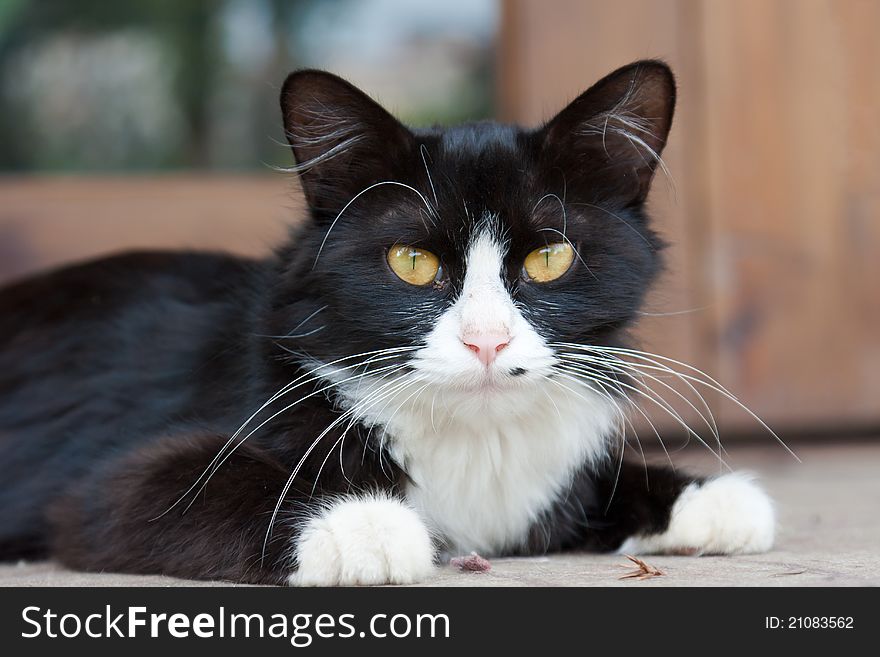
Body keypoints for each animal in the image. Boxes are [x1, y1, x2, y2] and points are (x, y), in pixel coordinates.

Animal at [0, 60, 776, 584]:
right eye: (411, 261)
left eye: (550, 257)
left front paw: (708, 496)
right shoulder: (107, 483)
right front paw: (361, 524)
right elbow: (170, 486)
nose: (486, 340)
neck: (472, 439)